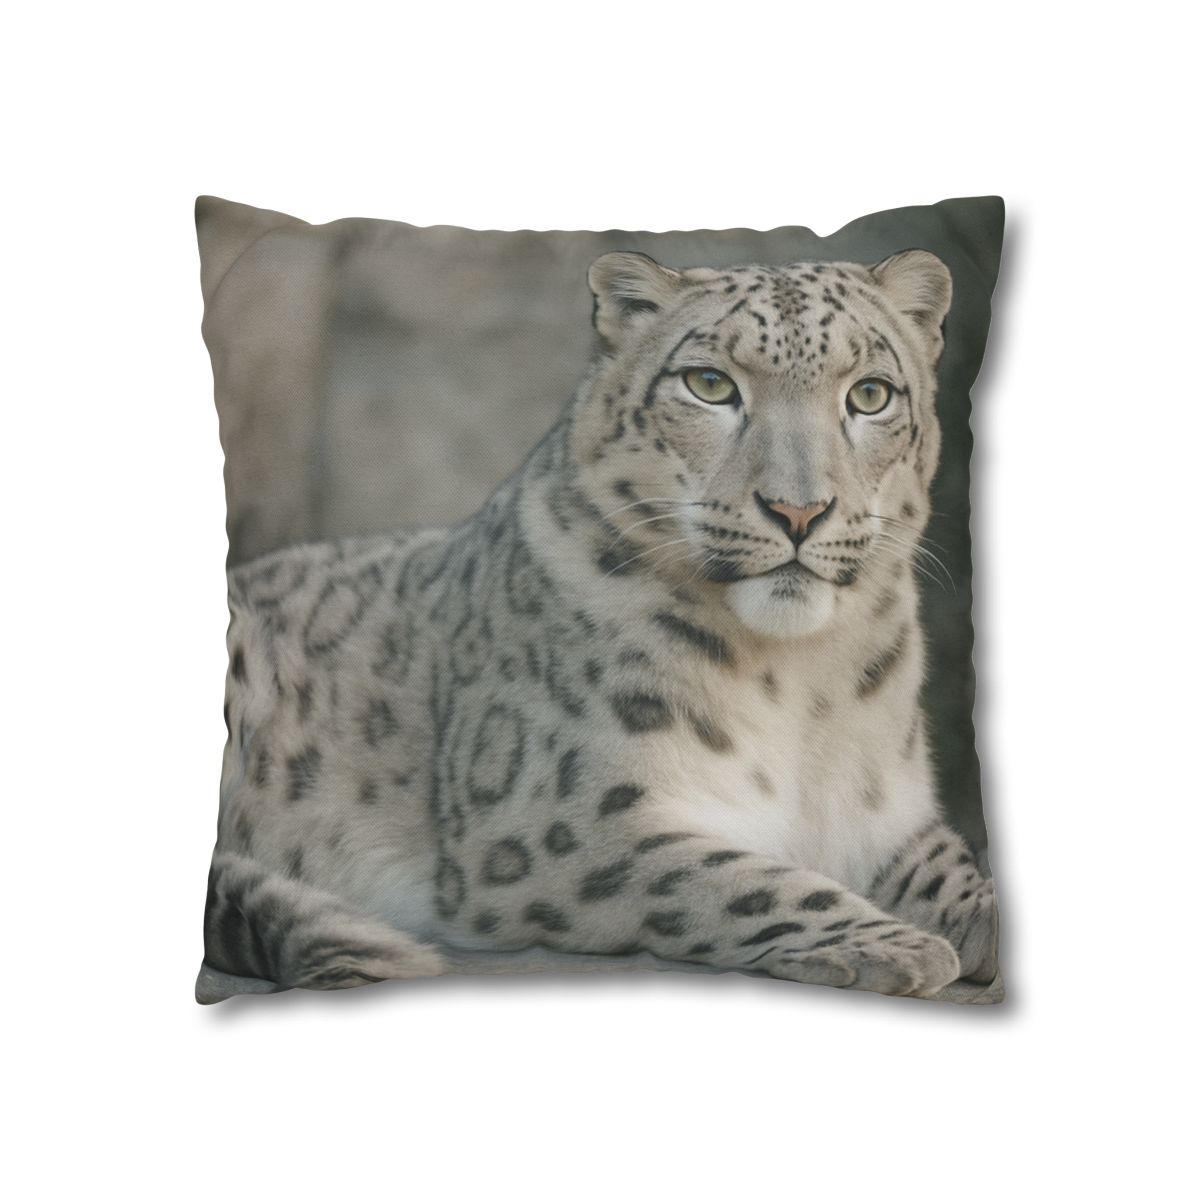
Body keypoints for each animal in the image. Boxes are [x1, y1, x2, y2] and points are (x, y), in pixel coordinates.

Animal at [202, 247, 999, 1002]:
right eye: (710, 384)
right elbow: (733, 880)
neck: (800, 679)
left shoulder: (886, 815)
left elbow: (954, 867)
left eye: (870, 394)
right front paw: (897, 946)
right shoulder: (565, 820)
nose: (798, 510)